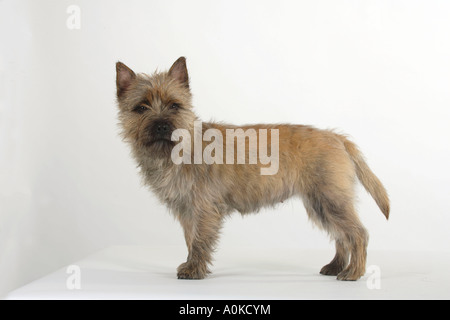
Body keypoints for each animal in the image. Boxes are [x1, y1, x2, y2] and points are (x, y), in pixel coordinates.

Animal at [114, 57, 388, 280]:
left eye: (174, 105)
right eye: (141, 107)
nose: (161, 125)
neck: (178, 151)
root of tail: (337, 137)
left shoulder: (203, 209)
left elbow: (200, 241)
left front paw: (193, 270)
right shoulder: (187, 211)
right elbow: (190, 240)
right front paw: (193, 265)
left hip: (331, 200)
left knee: (358, 234)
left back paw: (353, 272)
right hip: (320, 204)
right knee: (342, 236)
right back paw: (336, 266)